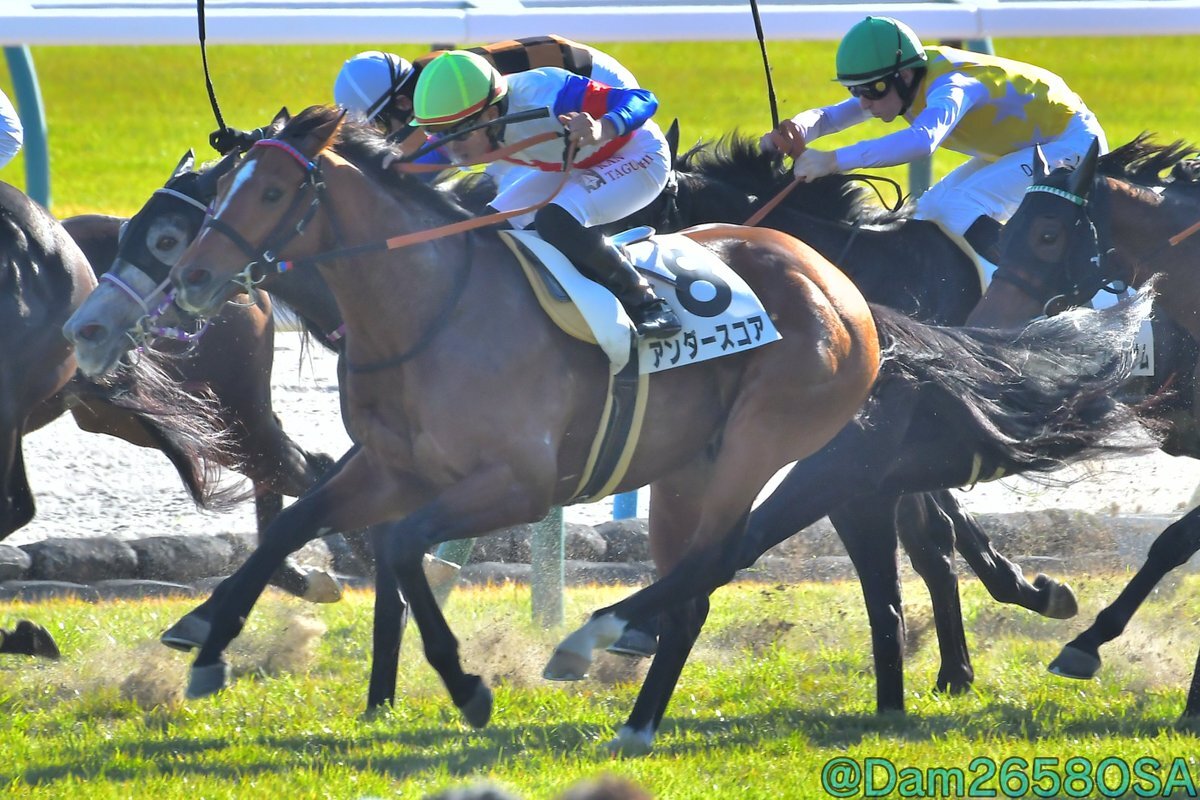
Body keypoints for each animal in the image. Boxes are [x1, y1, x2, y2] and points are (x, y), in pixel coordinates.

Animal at [73, 122, 1075, 715]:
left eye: (272, 194)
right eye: (217, 197)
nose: (192, 283)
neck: (424, 305)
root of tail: (844, 288)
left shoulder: (517, 481)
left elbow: (402, 549)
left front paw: (463, 682)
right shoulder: (391, 466)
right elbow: (305, 526)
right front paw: (209, 637)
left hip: (769, 443)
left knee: (742, 555)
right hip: (703, 460)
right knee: (746, 562)